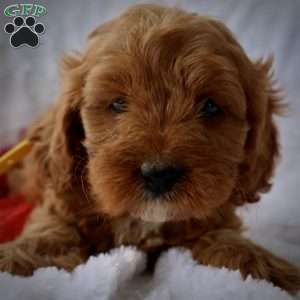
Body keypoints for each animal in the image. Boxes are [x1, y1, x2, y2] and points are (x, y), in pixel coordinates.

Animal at [0, 4, 300, 296]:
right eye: (118, 104)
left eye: (210, 106)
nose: (159, 174)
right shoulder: (60, 205)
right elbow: (48, 237)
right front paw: (13, 257)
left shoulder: (212, 220)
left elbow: (226, 243)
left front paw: (268, 267)